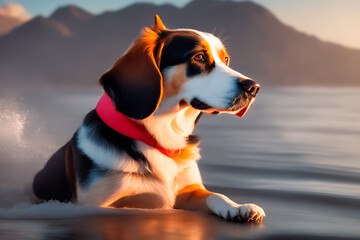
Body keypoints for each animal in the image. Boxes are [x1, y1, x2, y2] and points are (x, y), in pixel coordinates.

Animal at [33, 14, 264, 221]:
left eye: (226, 59)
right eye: (199, 57)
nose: (254, 87)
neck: (161, 135)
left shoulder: (188, 189)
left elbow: (215, 195)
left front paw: (236, 207)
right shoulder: (97, 203)